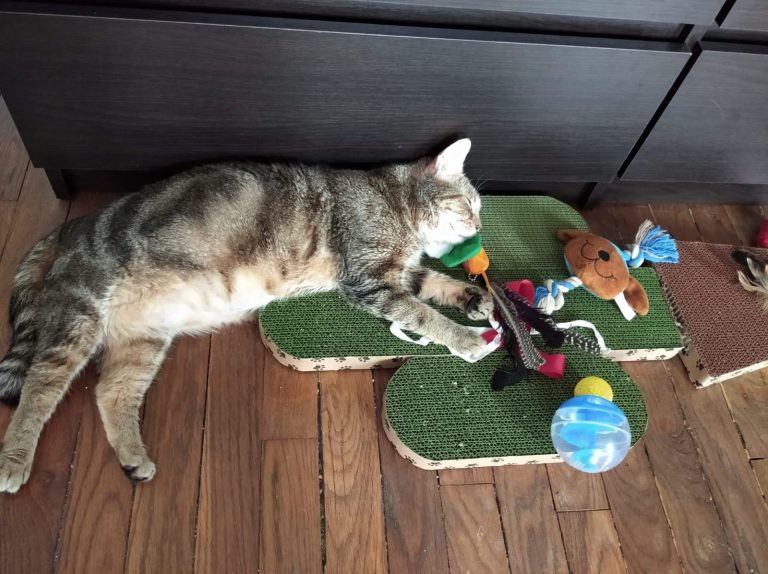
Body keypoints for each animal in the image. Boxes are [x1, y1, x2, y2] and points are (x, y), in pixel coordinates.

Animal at [0, 138, 493, 493]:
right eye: (468, 204)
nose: (480, 227)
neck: (395, 203)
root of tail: (74, 226)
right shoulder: (369, 279)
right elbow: (424, 314)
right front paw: (467, 339)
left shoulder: (397, 275)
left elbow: (433, 285)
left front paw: (474, 297)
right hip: (77, 322)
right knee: (39, 390)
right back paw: (14, 459)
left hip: (143, 338)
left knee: (110, 392)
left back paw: (133, 458)